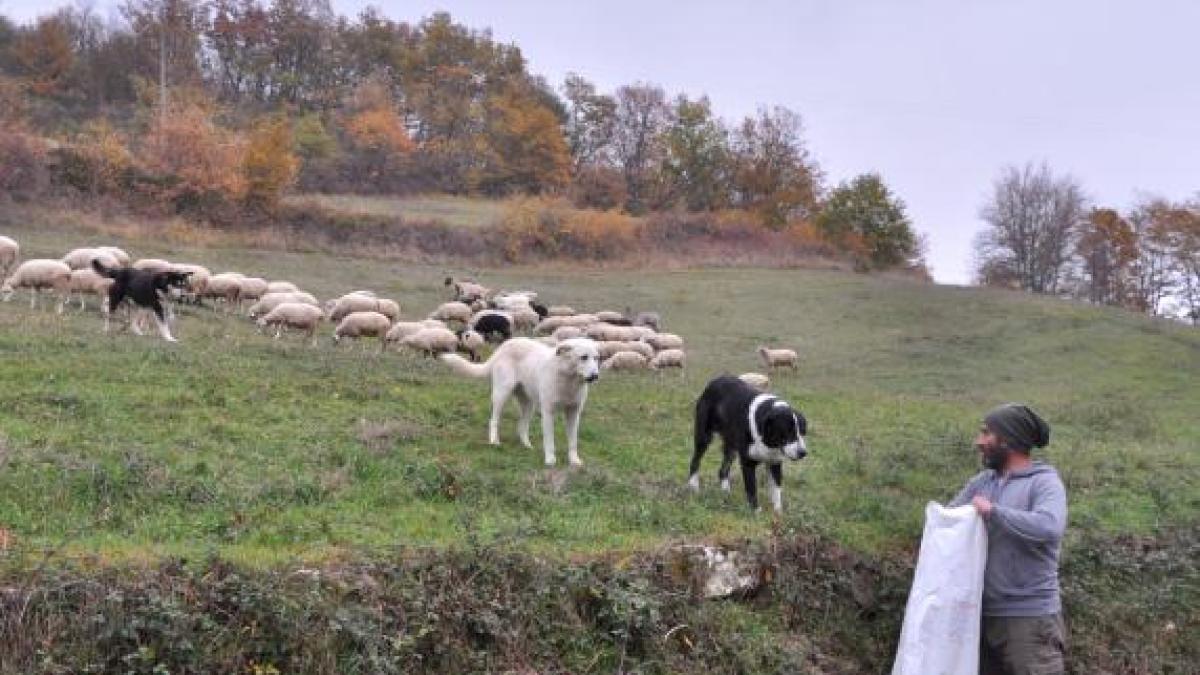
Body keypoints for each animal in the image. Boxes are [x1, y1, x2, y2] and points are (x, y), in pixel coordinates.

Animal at [441, 333, 600, 461]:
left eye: (597, 358)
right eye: (583, 357)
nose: (595, 376)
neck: (568, 379)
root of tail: (503, 346)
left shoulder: (574, 412)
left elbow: (573, 442)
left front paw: (574, 461)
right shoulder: (548, 412)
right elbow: (549, 441)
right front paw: (550, 460)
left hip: (529, 404)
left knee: (521, 426)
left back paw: (527, 446)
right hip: (502, 394)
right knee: (494, 420)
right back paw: (494, 442)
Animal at [686, 372, 806, 509]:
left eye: (802, 432)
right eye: (787, 432)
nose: (803, 452)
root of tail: (716, 380)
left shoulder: (774, 462)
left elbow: (776, 490)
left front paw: (777, 511)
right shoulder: (747, 462)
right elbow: (751, 489)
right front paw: (756, 511)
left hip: (731, 446)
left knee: (723, 470)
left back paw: (725, 492)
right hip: (704, 437)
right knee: (695, 460)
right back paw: (693, 485)